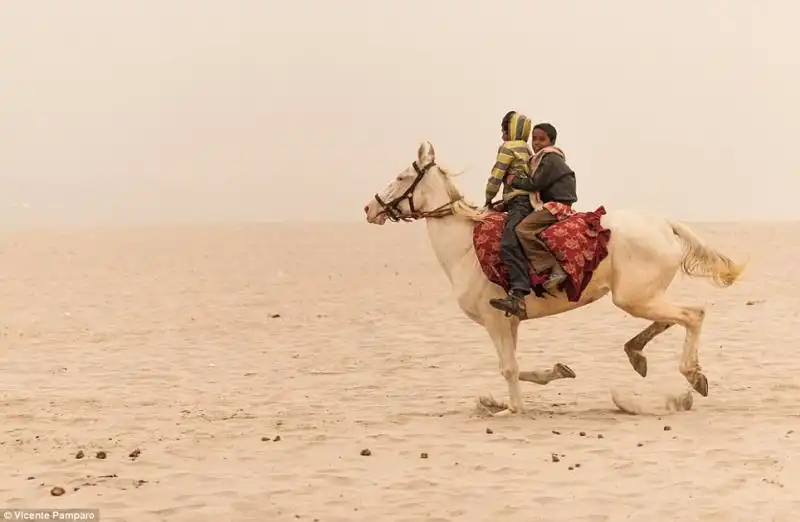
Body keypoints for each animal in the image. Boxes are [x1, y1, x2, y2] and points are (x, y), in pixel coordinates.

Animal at [362, 140, 744, 412]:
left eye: (401, 177)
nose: (369, 208)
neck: (465, 246)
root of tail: (665, 223)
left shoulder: (495, 319)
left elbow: (508, 368)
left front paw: (512, 409)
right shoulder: (510, 320)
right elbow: (516, 366)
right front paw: (556, 372)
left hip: (634, 298)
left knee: (693, 315)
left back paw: (692, 375)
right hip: (645, 296)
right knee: (672, 318)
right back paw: (638, 355)